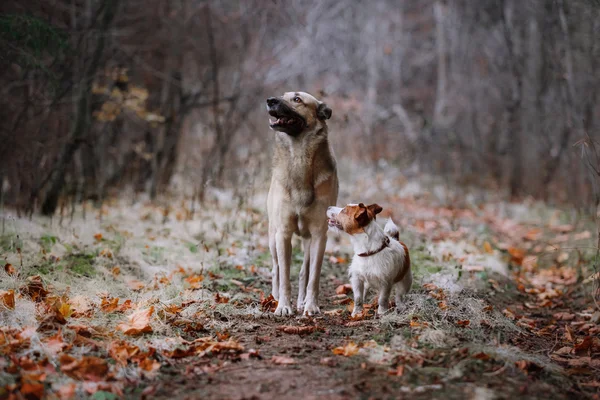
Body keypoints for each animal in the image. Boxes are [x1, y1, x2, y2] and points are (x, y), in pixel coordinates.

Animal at [266, 90, 338, 316]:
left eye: (297, 99)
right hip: (272, 238)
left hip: (308, 241)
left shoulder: (319, 235)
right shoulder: (283, 233)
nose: (270, 100)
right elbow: (284, 276)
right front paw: (283, 306)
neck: (299, 155)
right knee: (276, 269)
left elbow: (313, 276)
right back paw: (275, 298)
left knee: (304, 272)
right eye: (282, 95)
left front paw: (311, 305)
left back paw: (301, 301)